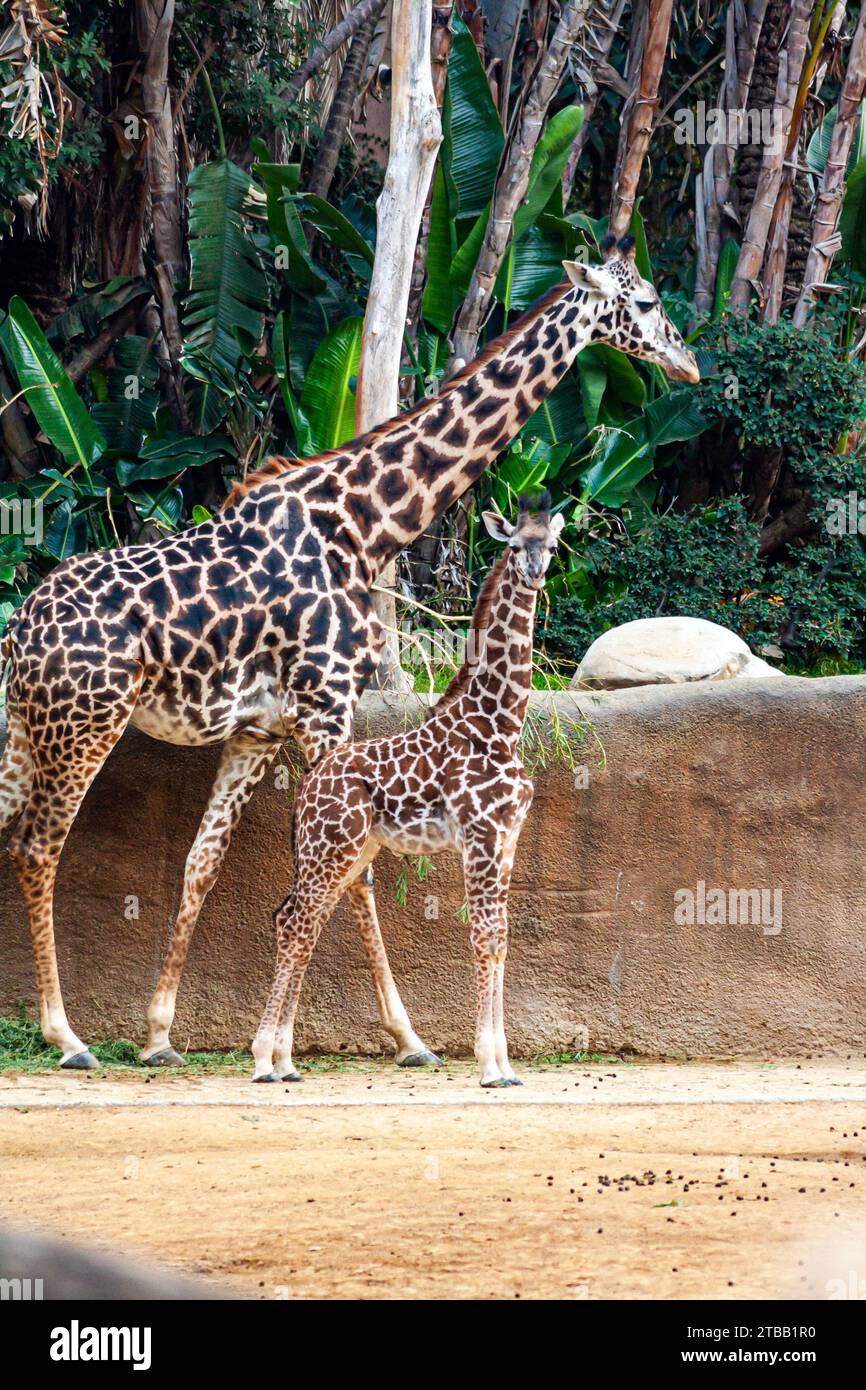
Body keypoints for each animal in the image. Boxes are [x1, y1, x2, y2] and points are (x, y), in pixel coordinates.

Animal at [252, 493, 563, 1087]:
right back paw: (262, 1059)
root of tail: (308, 784)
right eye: (515, 546)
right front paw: (490, 1065)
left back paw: (284, 1061)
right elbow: (484, 936)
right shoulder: (481, 835)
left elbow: (502, 939)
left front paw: (505, 1064)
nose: (535, 572)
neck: (500, 724)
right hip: (332, 847)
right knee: (296, 921)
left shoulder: (507, 838)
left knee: (296, 920)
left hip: (349, 850)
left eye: (552, 546)